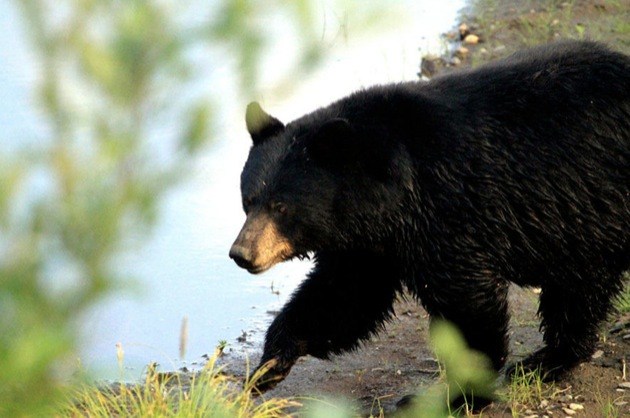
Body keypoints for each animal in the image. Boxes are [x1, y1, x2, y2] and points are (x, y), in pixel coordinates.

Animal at [231, 40, 630, 400]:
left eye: (281, 206)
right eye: (248, 201)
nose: (241, 253)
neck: (389, 195)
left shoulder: (448, 208)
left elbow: (466, 300)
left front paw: (460, 392)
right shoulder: (369, 245)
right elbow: (344, 296)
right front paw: (269, 365)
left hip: (588, 201)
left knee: (576, 286)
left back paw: (545, 360)